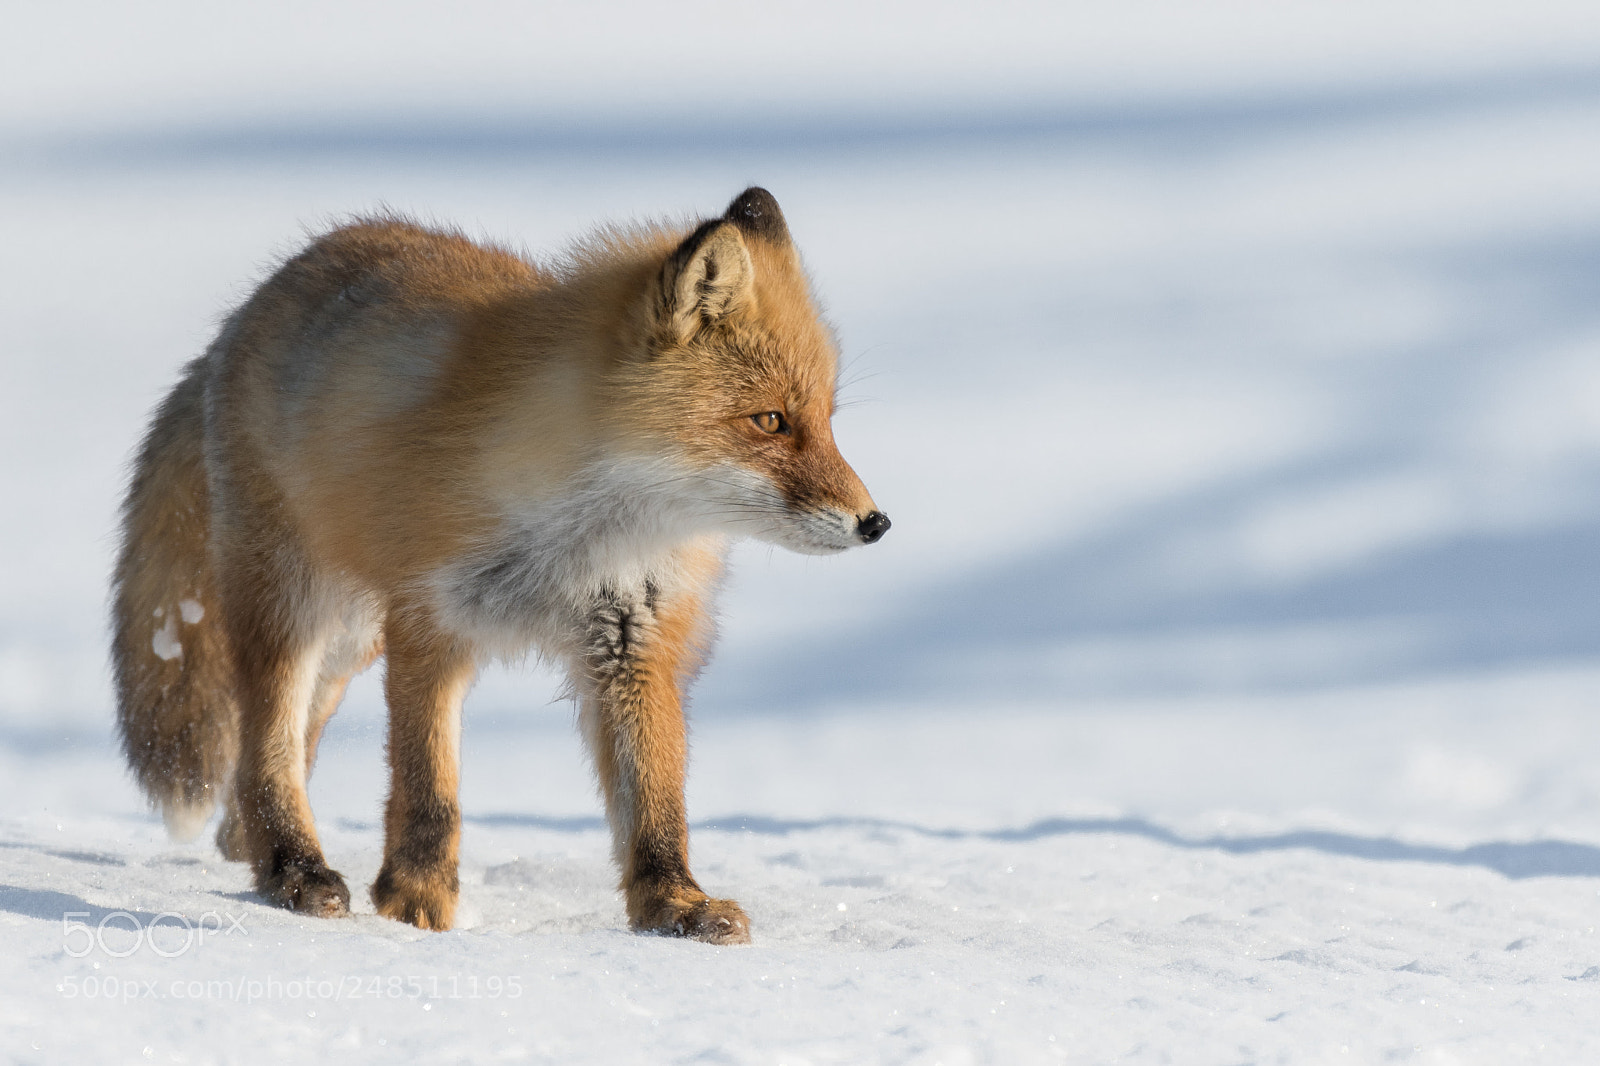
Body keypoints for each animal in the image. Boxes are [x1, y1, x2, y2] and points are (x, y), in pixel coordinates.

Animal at [112, 187, 888, 944]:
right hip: (294, 604)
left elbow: (655, 800)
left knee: (275, 750)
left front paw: (673, 906)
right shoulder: (431, 620)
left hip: (352, 634)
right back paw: (295, 871)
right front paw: (417, 904)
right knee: (266, 742)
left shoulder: (632, 638)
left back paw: (250, 847)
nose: (876, 522)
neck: (588, 533)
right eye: (770, 422)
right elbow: (429, 788)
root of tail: (250, 306)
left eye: (826, 419)